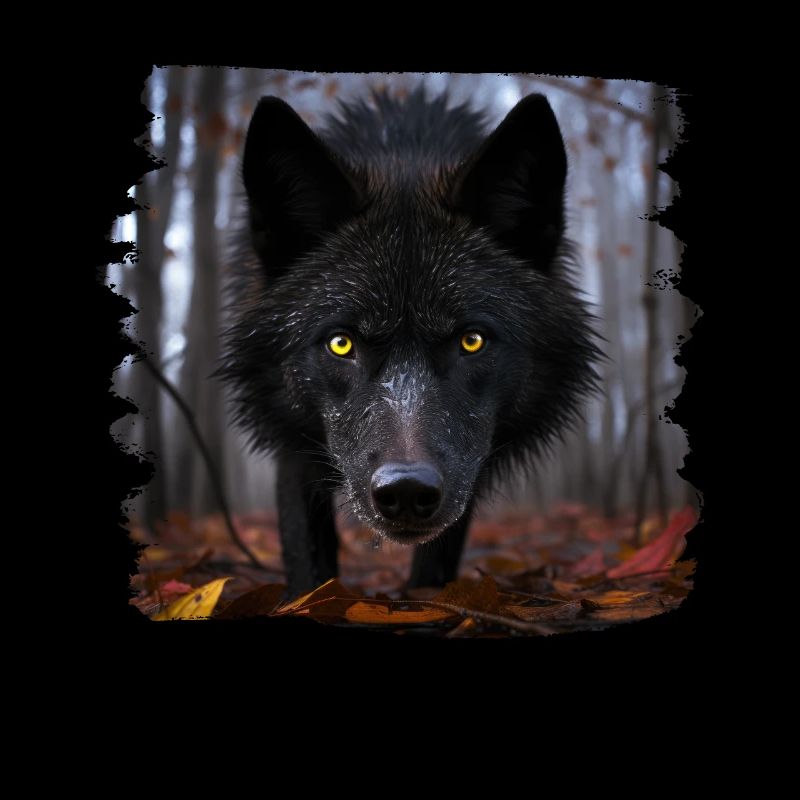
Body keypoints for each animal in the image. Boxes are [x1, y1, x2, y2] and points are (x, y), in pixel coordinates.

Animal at [219, 87, 600, 598]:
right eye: (341, 344)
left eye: (472, 341)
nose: (406, 489)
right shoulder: (293, 444)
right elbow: (305, 553)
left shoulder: (467, 465)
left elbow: (438, 556)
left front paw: (426, 601)